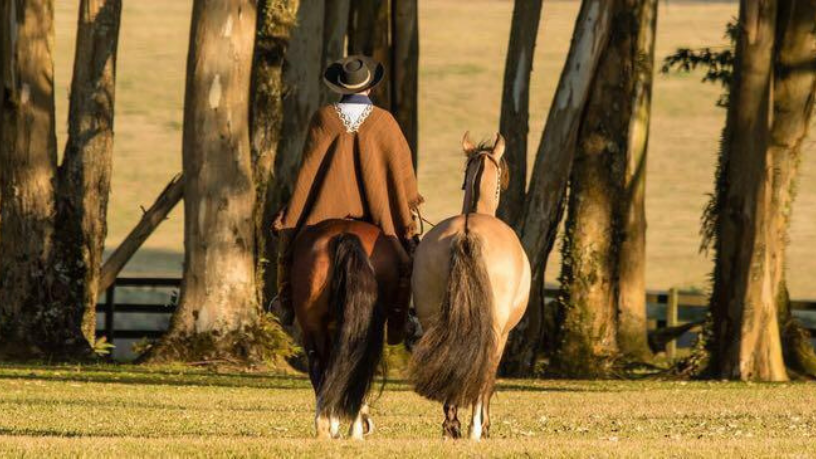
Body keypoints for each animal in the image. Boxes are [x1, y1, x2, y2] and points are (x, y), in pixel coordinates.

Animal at [409, 133, 531, 440]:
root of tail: (466, 232)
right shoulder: (504, 334)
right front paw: (483, 425)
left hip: (432, 320)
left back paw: (451, 425)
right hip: (494, 329)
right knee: (483, 370)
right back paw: (475, 427)